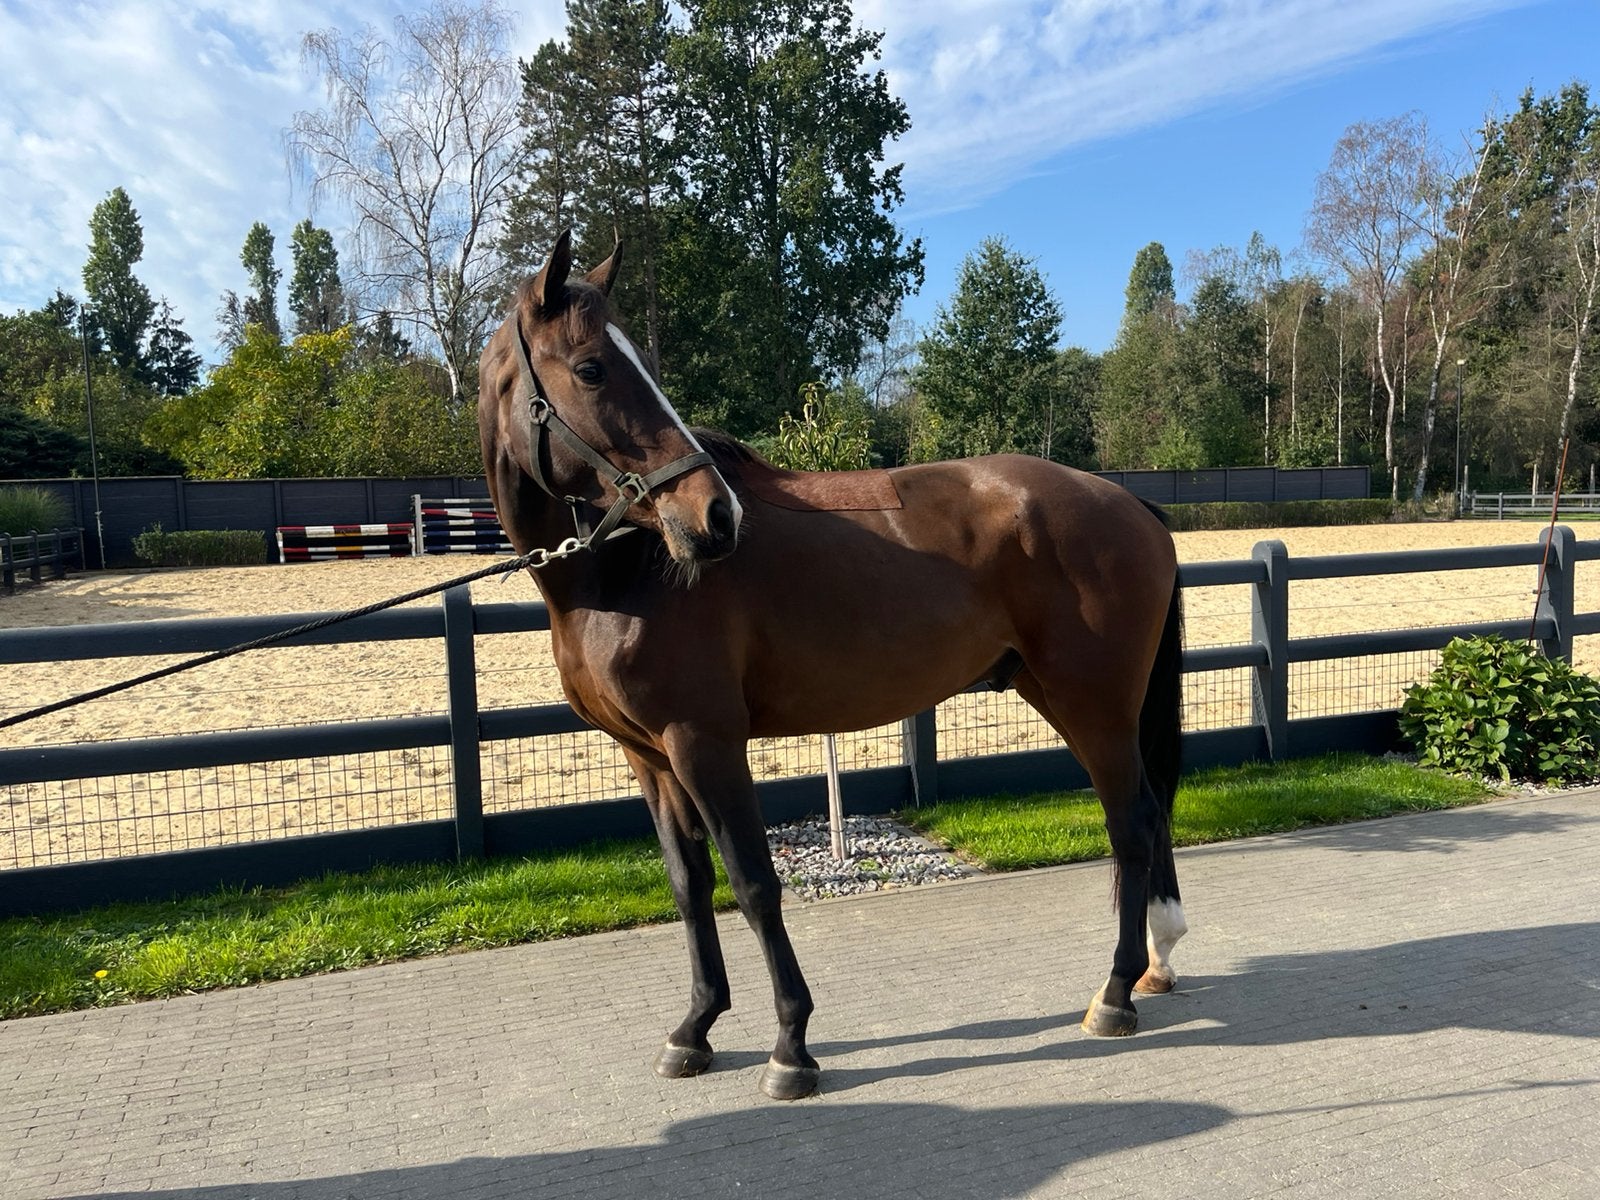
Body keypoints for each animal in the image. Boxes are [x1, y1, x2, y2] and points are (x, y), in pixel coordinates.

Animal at [478, 231, 1187, 1101]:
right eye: (591, 368)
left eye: (621, 363)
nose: (715, 519)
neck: (624, 573)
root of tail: (1128, 504)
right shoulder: (650, 757)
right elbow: (690, 886)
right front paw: (695, 1029)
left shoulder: (705, 744)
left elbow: (753, 882)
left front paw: (791, 1045)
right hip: (1061, 695)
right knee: (1144, 816)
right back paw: (1149, 965)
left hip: (1094, 704)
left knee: (1133, 822)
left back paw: (1115, 993)